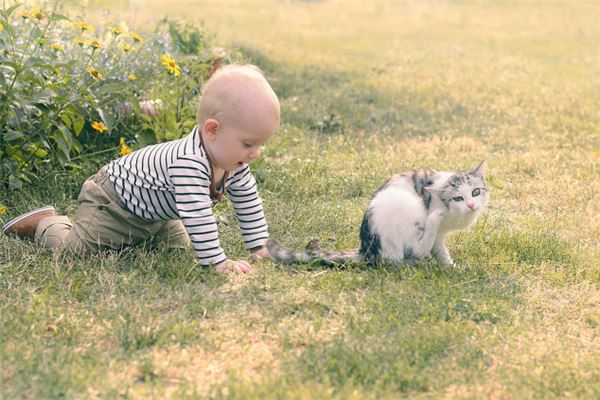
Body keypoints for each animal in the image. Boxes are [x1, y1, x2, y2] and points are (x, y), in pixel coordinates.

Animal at [266, 161, 488, 268]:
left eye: (475, 192)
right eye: (458, 198)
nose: (470, 205)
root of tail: (367, 250)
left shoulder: (440, 238)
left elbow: (440, 252)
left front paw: (450, 266)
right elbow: (434, 248)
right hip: (409, 208)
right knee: (414, 251)